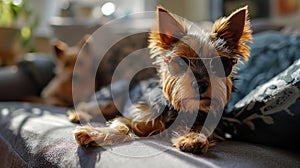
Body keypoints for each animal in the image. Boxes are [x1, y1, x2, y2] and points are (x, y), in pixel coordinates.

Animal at [73, 5, 253, 154]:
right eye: (181, 62)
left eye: (220, 64)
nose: (200, 84)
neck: (182, 110)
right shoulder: (138, 116)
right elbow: (121, 126)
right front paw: (93, 133)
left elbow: (200, 129)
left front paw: (193, 139)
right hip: (110, 98)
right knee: (89, 104)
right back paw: (77, 114)